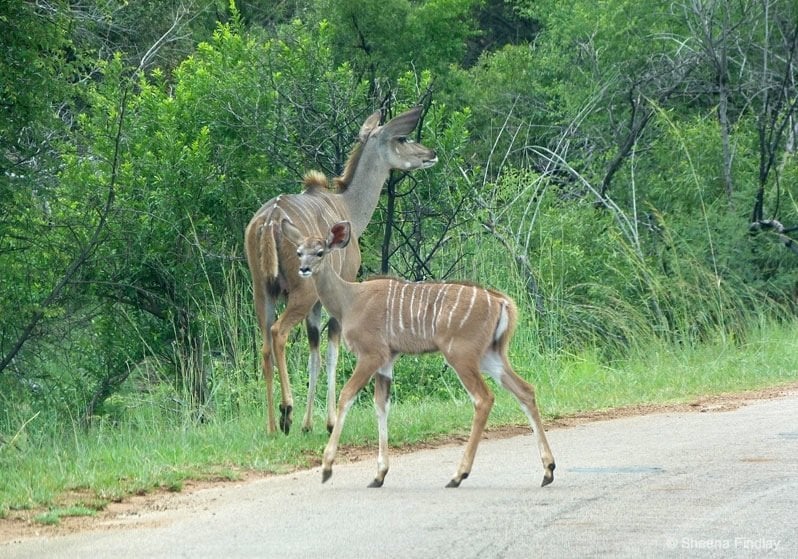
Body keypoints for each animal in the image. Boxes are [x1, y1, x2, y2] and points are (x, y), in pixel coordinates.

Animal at [247, 106, 440, 438]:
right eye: (402, 138)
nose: (431, 154)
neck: (348, 208)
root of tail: (269, 221)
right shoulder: (338, 291)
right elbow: (332, 352)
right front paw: (328, 422)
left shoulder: (316, 305)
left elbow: (314, 352)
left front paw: (308, 425)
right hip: (299, 292)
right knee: (278, 333)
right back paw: (286, 412)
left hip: (263, 291)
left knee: (265, 346)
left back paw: (272, 426)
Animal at [282, 217, 556, 488]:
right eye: (299, 252)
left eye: (320, 252)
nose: (303, 269)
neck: (349, 301)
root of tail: (502, 302)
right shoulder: (388, 359)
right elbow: (381, 404)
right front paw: (379, 474)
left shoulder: (372, 354)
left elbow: (346, 395)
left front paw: (327, 467)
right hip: (490, 355)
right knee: (525, 390)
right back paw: (548, 470)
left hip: (460, 354)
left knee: (483, 398)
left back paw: (458, 475)